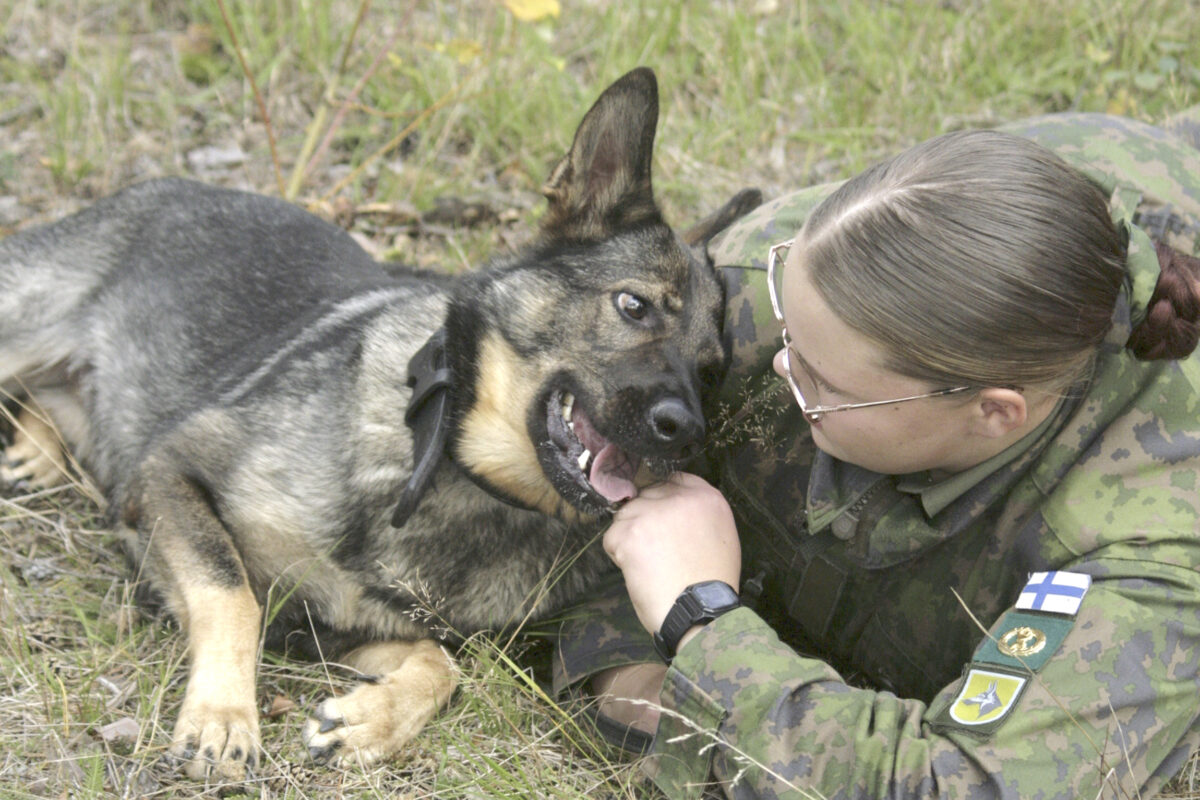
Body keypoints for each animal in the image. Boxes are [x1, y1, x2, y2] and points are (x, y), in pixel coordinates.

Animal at [0, 70, 758, 782]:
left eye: (711, 371)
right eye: (633, 306)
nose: (686, 431)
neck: (459, 475)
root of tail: (158, 188)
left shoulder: (323, 622)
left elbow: (442, 664)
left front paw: (374, 720)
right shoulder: (170, 472)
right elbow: (230, 594)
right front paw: (223, 717)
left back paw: (38, 452)